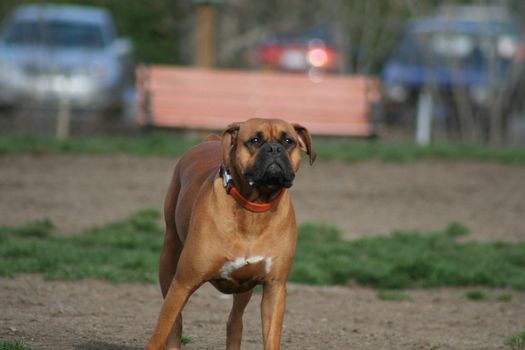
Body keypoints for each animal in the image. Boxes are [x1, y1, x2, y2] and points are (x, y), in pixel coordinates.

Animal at [145, 118, 314, 350]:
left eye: (288, 141)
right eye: (255, 140)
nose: (274, 149)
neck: (254, 208)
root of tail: (210, 140)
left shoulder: (275, 288)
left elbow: (270, 337)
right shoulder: (183, 283)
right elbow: (160, 332)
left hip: (244, 289)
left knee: (235, 321)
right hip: (169, 262)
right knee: (175, 323)